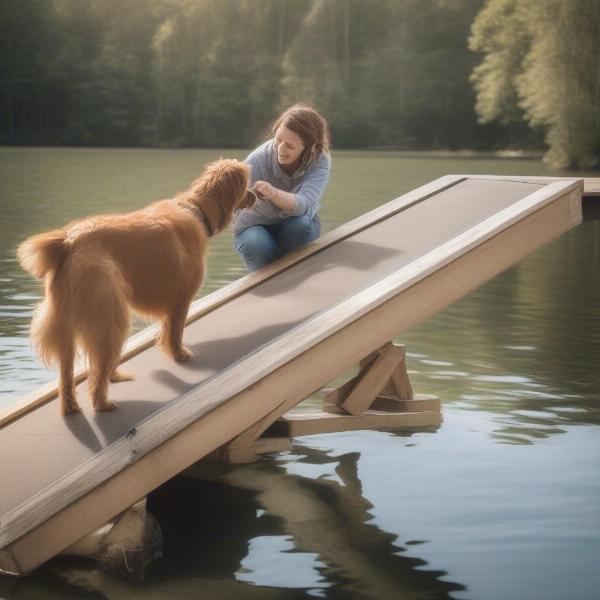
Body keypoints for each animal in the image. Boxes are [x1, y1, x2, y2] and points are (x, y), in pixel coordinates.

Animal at [17, 157, 251, 414]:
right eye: (247, 185)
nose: (255, 195)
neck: (196, 209)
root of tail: (69, 242)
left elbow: (168, 330)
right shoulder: (181, 298)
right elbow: (176, 332)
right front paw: (179, 354)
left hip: (66, 327)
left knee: (69, 376)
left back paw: (76, 403)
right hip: (110, 317)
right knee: (97, 375)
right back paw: (104, 402)